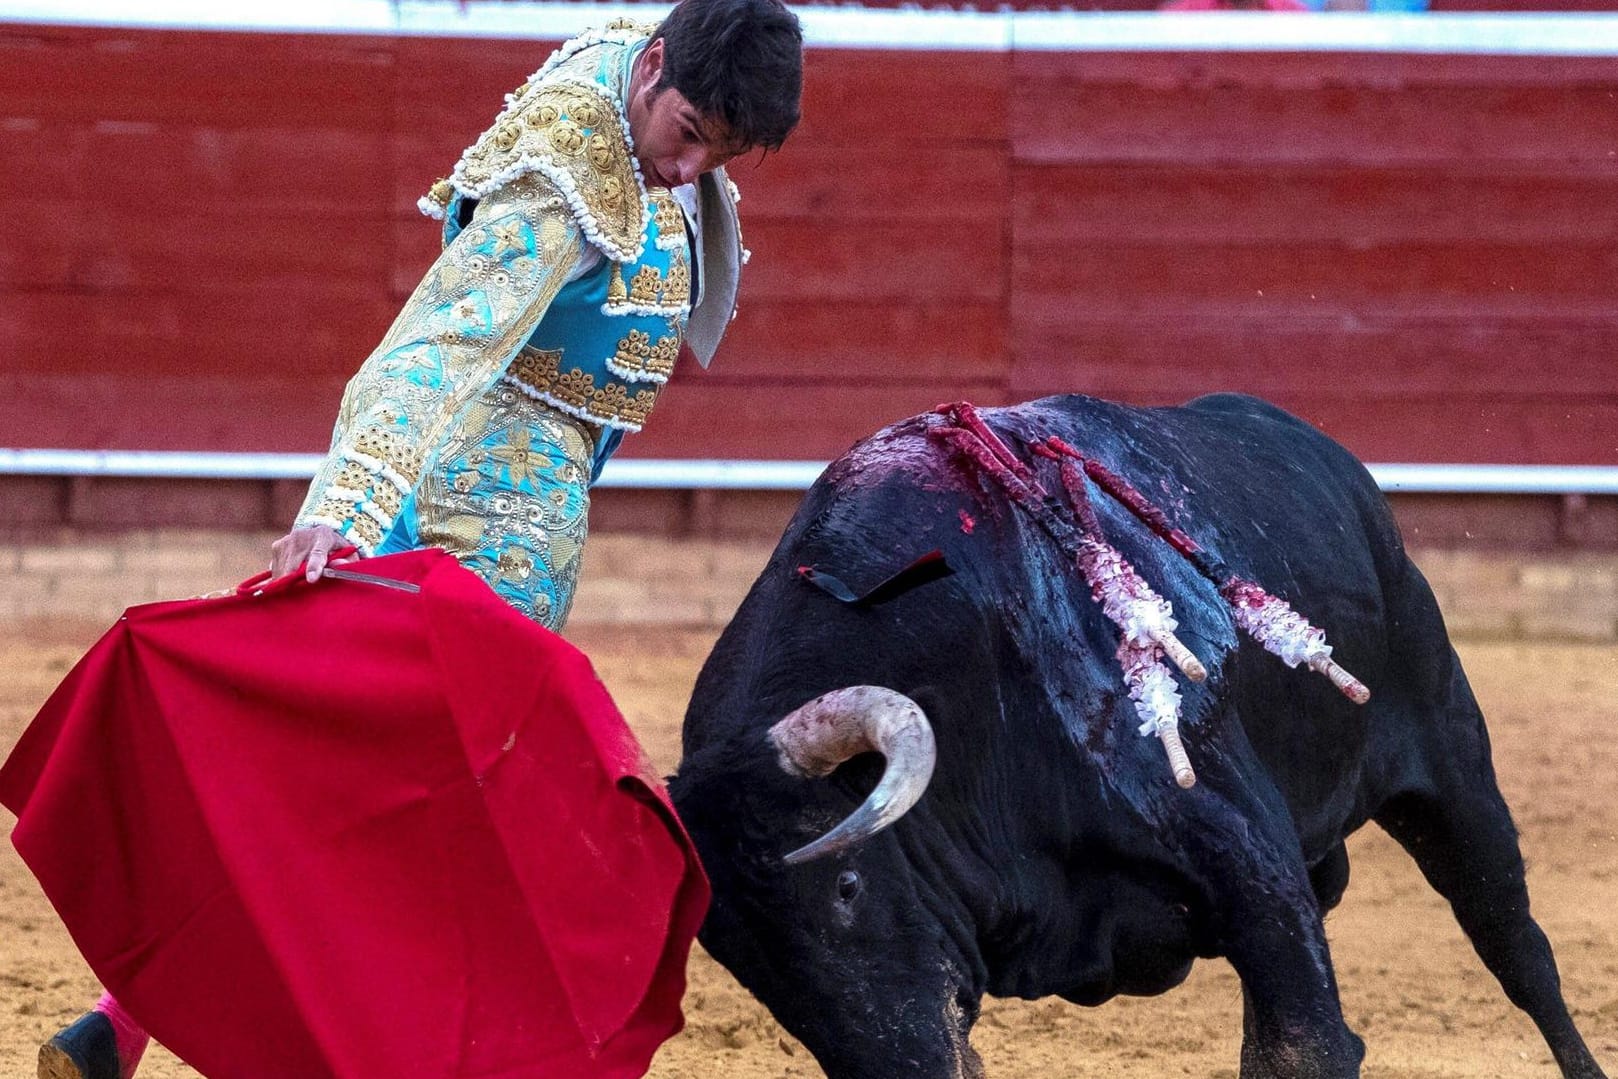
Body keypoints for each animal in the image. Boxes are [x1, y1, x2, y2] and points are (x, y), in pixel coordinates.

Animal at [666, 396, 1605, 1079]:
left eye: (849, 884)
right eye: (737, 953)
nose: (902, 1071)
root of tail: (1328, 457)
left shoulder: (1245, 858)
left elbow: (1306, 1046)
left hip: (1450, 758)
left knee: (1517, 946)